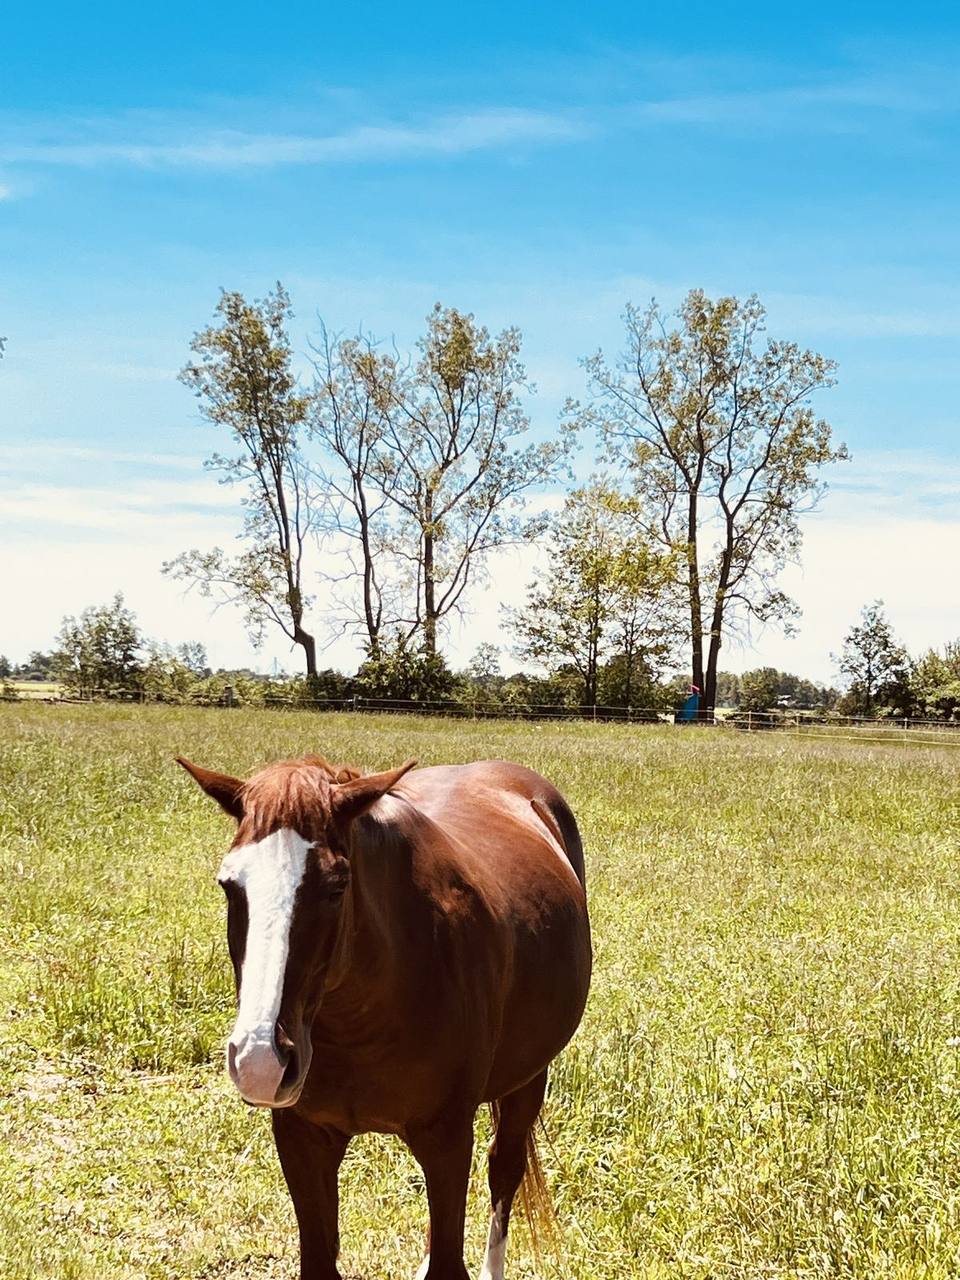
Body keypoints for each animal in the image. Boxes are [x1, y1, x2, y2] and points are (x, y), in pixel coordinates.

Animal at [176, 752, 592, 1280]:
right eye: (230, 884)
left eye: (337, 885)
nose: (260, 1061)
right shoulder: (302, 1138)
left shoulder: (447, 1138)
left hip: (528, 1077)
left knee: (505, 1169)